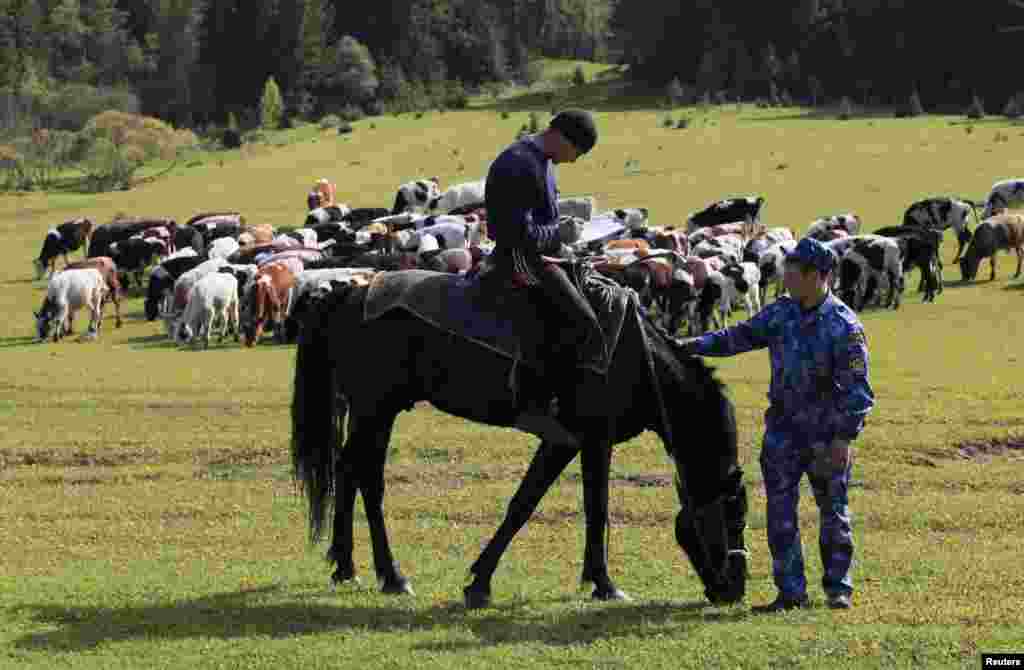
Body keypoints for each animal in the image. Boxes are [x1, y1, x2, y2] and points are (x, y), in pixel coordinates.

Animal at [292, 270, 749, 610]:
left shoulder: (566, 442)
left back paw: (347, 566)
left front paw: (483, 581)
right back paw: (391, 575)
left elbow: (533, 503)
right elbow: (584, 507)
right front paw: (603, 583)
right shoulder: (593, 439)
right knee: (366, 479)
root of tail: (350, 292)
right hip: (376, 410)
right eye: (734, 517)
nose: (734, 590)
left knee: (350, 472)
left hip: (375, 413)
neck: (636, 358)